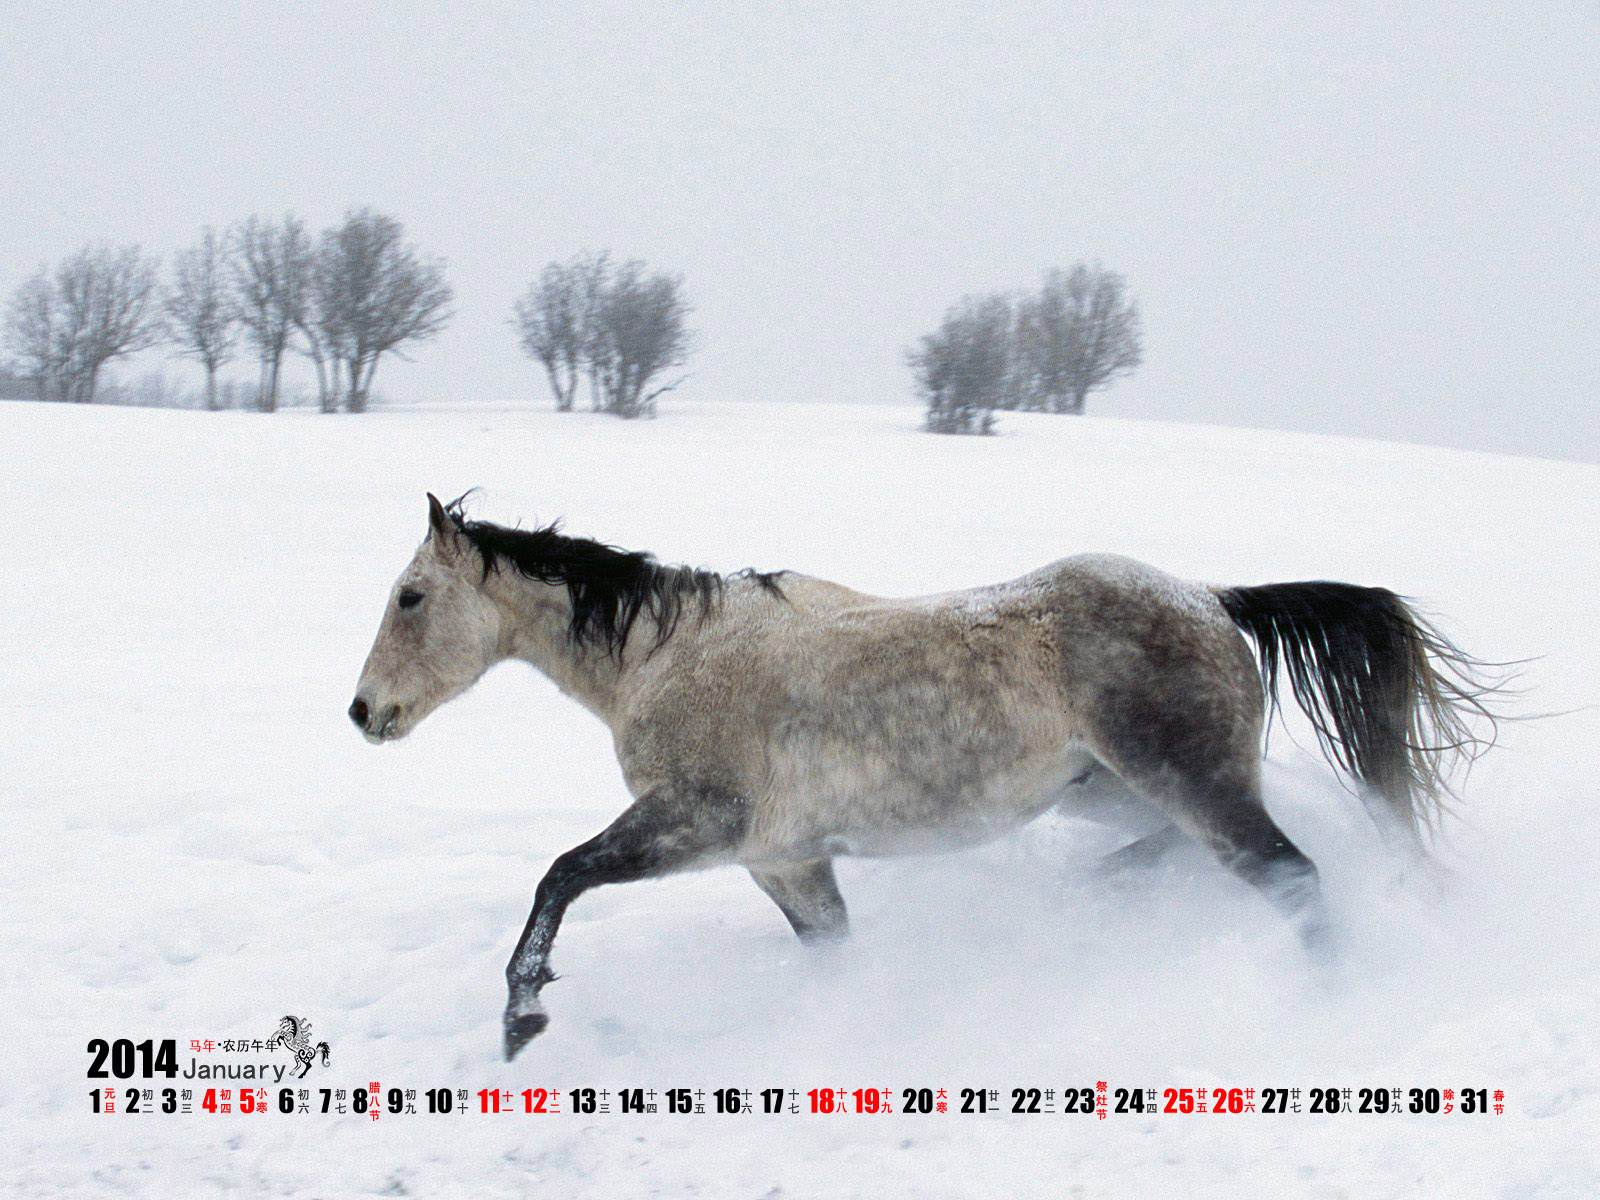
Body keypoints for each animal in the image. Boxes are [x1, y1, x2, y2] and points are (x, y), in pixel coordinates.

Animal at [349, 494, 1500, 1061]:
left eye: (410, 596)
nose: (363, 713)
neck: (669, 657)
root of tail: (1213, 600)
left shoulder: (696, 823)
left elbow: (559, 875)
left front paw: (521, 1020)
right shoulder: (785, 861)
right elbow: (834, 956)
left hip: (1190, 781)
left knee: (1293, 879)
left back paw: (1328, 1008)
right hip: (1114, 791)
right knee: (1183, 853)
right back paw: (1097, 901)